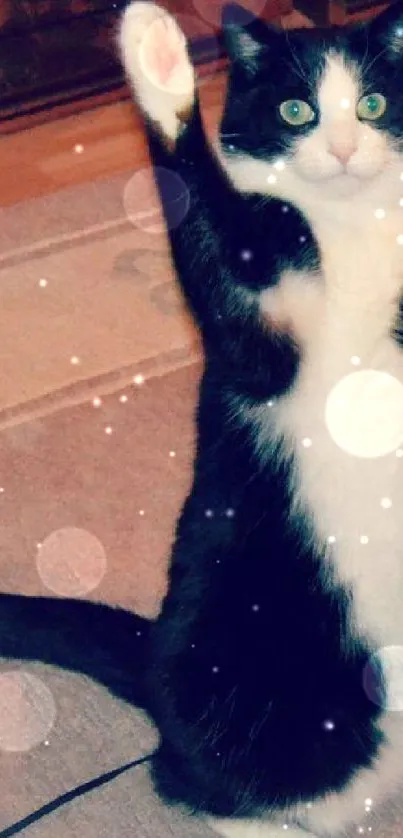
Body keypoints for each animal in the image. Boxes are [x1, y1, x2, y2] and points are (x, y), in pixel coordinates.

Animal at [0, 1, 403, 838]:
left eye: (374, 104)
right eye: (296, 111)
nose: (344, 149)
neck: (349, 230)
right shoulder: (256, 337)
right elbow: (208, 233)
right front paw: (156, 58)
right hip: (247, 659)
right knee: (192, 780)